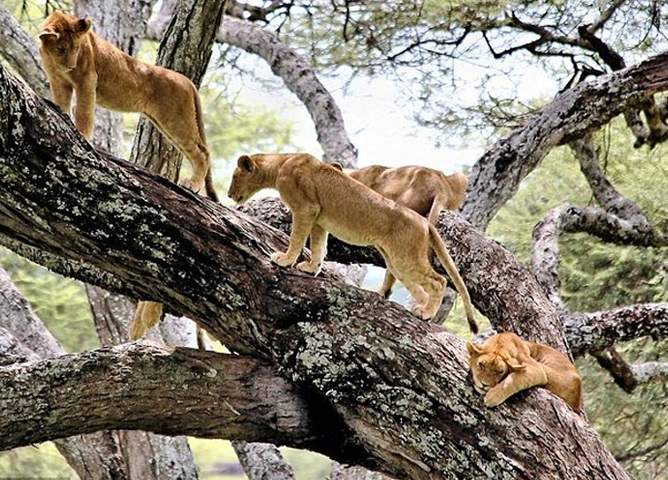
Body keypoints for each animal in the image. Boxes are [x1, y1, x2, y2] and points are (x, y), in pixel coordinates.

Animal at [37, 11, 217, 201]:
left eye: (77, 48)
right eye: (61, 49)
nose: (71, 66)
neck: (53, 59)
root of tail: (187, 80)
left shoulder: (87, 80)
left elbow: (83, 113)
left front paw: (82, 137)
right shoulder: (58, 82)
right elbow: (62, 104)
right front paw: (61, 119)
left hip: (176, 119)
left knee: (203, 152)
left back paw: (192, 184)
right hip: (165, 123)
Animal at [227, 154, 478, 334]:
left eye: (234, 177)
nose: (228, 194)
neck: (280, 163)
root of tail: (424, 222)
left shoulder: (305, 208)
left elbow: (297, 238)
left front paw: (285, 260)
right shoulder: (319, 218)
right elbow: (318, 247)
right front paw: (311, 268)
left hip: (405, 257)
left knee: (440, 281)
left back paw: (426, 313)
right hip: (396, 260)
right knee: (419, 287)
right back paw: (422, 311)